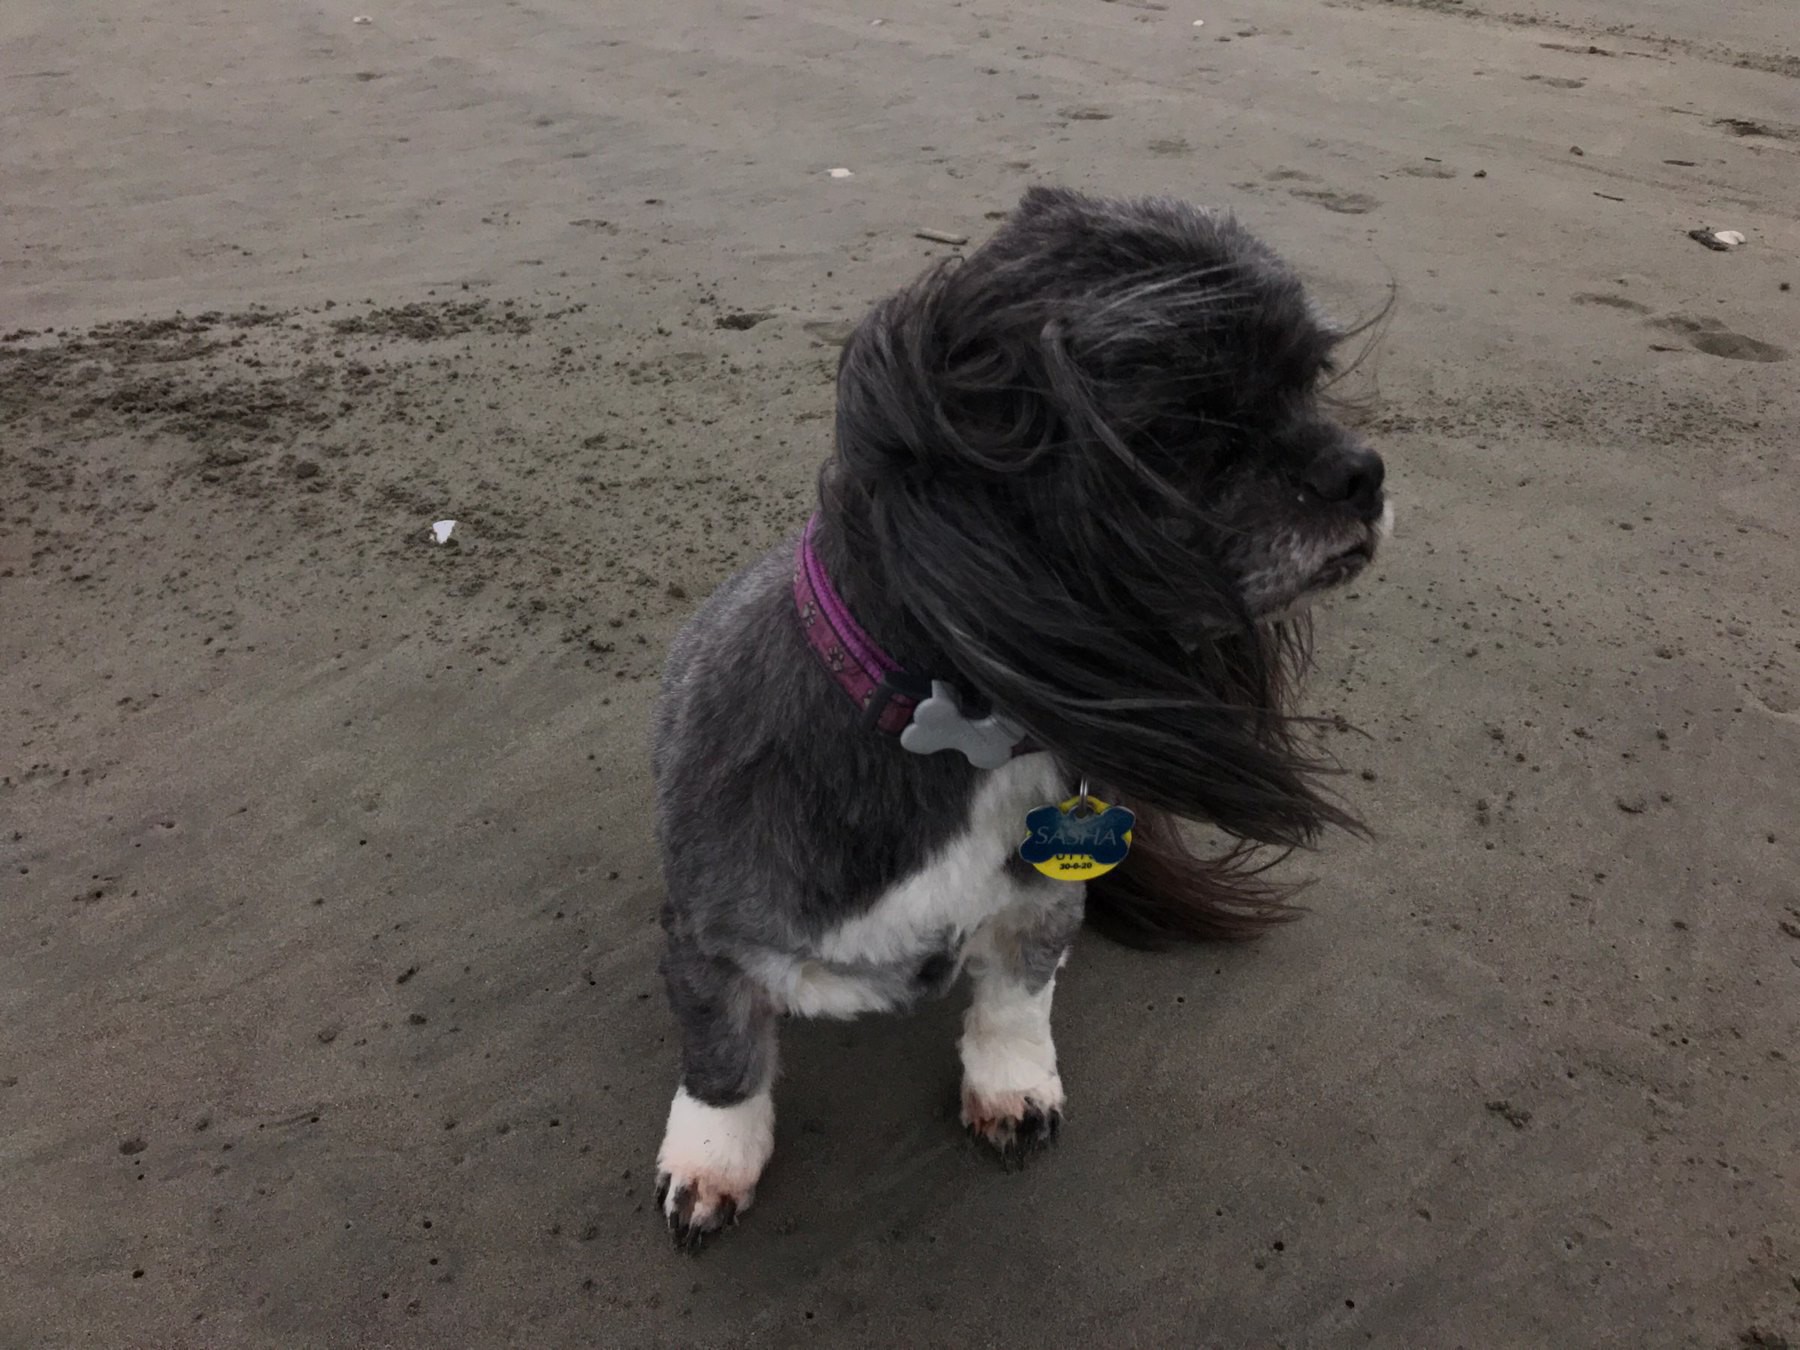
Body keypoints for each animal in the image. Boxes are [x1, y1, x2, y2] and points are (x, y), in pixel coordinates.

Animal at [648, 185, 1389, 1252]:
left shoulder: (1041, 903)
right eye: (1182, 422)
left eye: (1308, 384)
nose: (1362, 472)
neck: (963, 732)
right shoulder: (708, 933)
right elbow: (722, 1053)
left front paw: (1012, 1087)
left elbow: (1015, 997)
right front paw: (713, 1156)